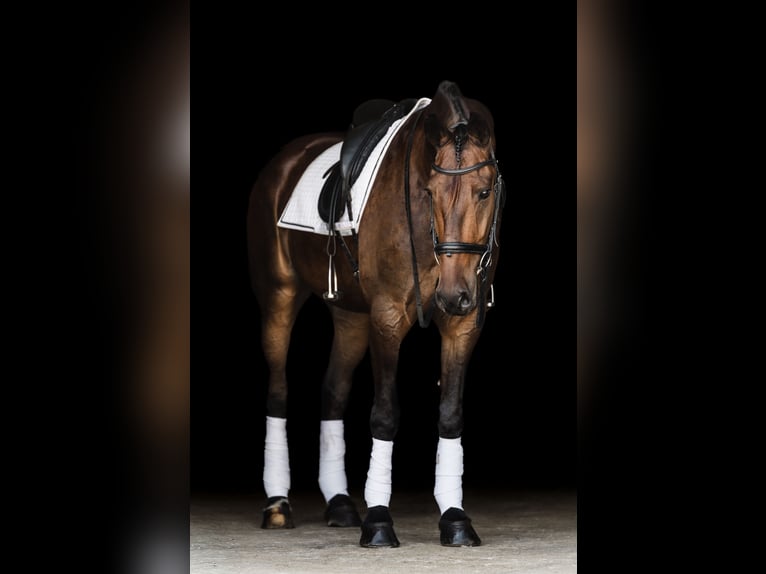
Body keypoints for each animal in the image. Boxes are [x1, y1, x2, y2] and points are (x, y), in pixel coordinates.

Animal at [246, 80, 505, 547]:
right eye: (430, 194)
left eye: (484, 191)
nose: (453, 293)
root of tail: (286, 158)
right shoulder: (387, 318)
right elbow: (384, 415)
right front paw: (380, 521)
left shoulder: (463, 324)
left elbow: (451, 415)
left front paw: (455, 518)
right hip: (278, 297)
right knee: (278, 391)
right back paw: (277, 503)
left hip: (351, 317)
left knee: (332, 391)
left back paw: (340, 504)